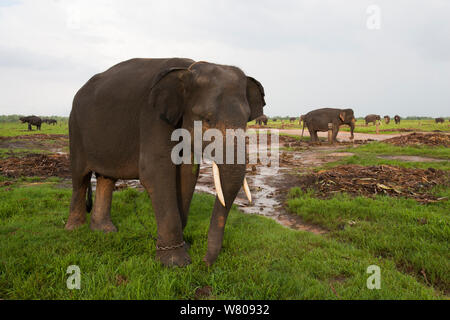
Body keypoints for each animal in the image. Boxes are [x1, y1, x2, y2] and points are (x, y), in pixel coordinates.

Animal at [65, 58, 266, 268]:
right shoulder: (153, 117)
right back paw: (75, 229)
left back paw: (105, 231)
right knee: (80, 177)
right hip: (75, 128)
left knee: (106, 179)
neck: (187, 70)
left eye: (246, 120)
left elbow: (186, 175)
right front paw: (176, 263)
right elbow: (156, 173)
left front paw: (184, 248)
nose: (204, 262)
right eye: (207, 119)